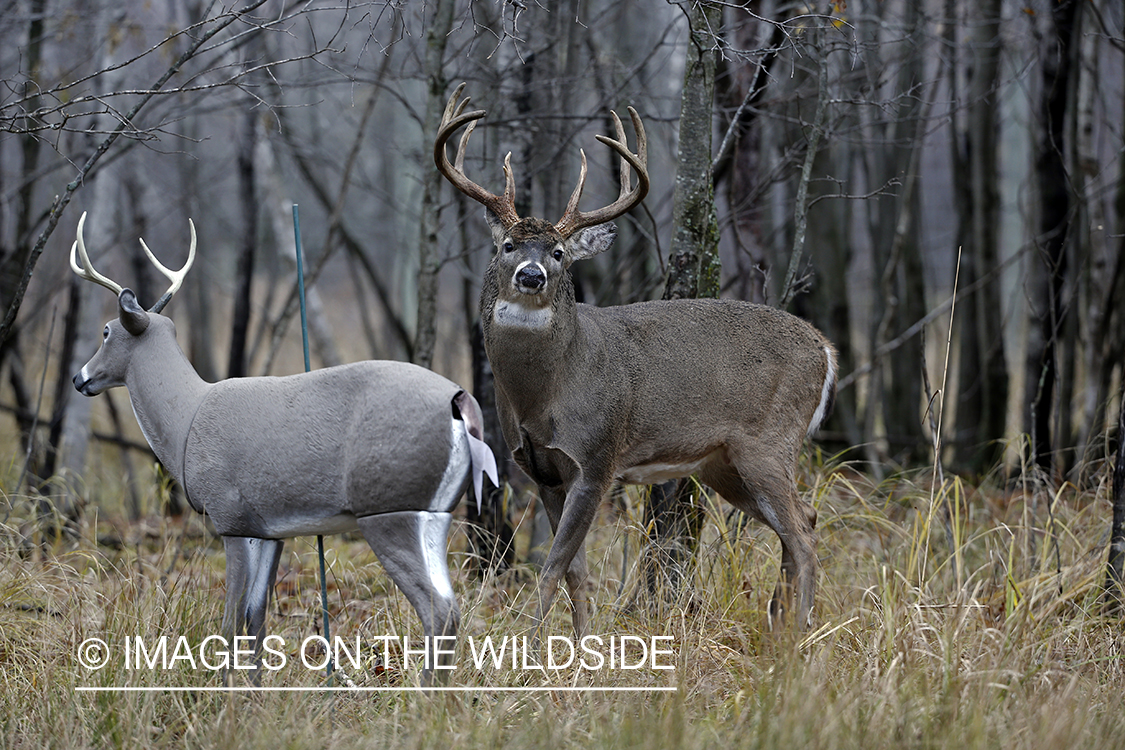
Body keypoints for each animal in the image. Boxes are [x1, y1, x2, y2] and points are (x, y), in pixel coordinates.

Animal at [69, 212, 492, 688]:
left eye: (106, 331)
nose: (79, 378)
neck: (188, 421)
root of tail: (461, 402)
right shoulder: (269, 527)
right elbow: (256, 617)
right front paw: (253, 690)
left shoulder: (229, 517)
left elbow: (230, 619)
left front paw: (226, 693)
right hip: (436, 514)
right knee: (452, 608)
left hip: (389, 509)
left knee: (437, 610)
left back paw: (419, 696)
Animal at [432, 88, 837, 638]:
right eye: (509, 245)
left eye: (559, 252)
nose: (531, 276)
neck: (543, 397)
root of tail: (825, 349)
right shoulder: (543, 472)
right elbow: (575, 572)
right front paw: (580, 645)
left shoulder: (597, 460)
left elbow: (552, 566)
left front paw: (531, 643)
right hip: (723, 463)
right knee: (805, 520)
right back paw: (781, 625)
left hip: (771, 440)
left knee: (802, 533)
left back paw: (800, 637)